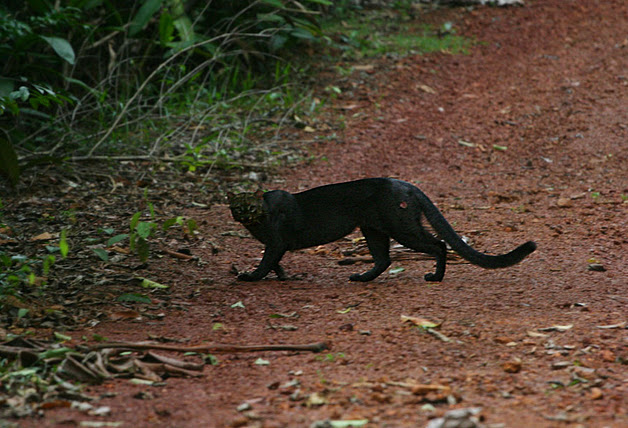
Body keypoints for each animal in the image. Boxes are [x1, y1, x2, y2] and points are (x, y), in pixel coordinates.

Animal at [228, 178, 536, 282]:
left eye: (250, 207)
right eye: (237, 207)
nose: (244, 216)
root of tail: (408, 185)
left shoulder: (275, 242)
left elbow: (266, 261)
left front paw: (250, 277)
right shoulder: (276, 246)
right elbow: (274, 263)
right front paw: (281, 277)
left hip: (400, 227)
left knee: (438, 244)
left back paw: (435, 277)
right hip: (373, 230)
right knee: (383, 259)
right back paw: (361, 278)